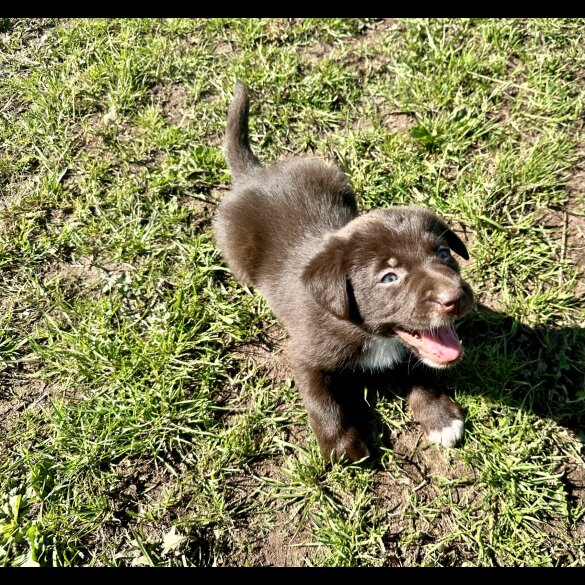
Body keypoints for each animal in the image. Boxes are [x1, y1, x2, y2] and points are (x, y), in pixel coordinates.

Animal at [214, 81, 474, 460]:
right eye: (389, 277)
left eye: (442, 253)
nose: (454, 297)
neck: (372, 334)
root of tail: (254, 174)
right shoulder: (304, 355)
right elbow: (321, 399)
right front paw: (341, 446)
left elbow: (421, 373)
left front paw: (440, 416)